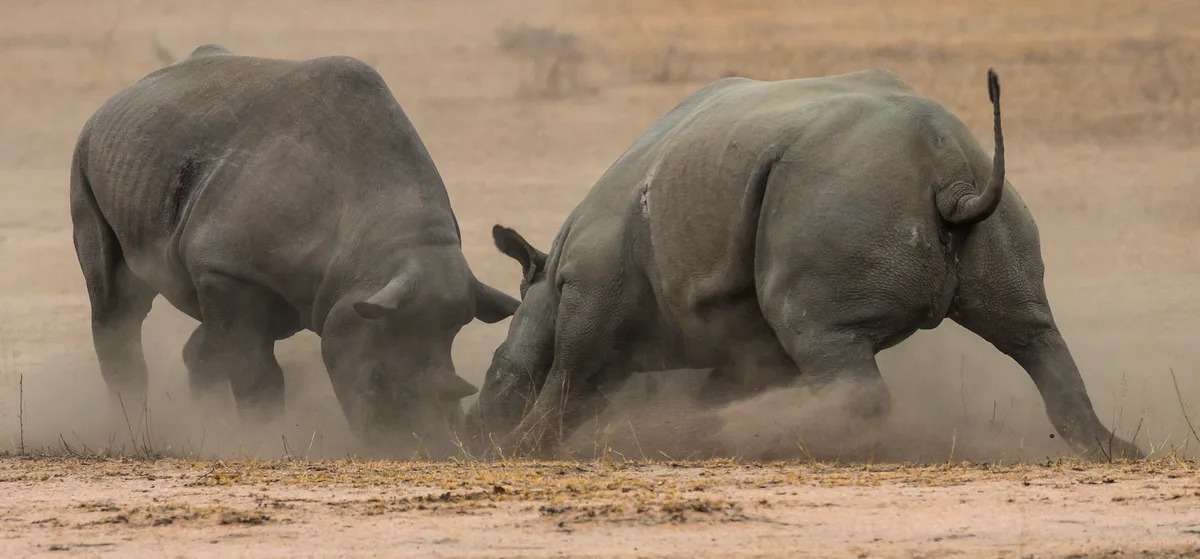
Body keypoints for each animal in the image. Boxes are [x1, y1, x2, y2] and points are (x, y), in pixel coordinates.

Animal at [69, 44, 519, 452]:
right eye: (375, 382)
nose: (416, 448)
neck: (368, 256)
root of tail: (119, 97)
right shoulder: (227, 269)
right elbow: (255, 370)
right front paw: (265, 439)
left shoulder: (305, 285)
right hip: (85, 152)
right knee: (117, 300)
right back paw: (133, 425)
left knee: (205, 336)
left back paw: (205, 426)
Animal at [467, 68, 1144, 461]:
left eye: (497, 373)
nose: (474, 427)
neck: (548, 277)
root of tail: (949, 169)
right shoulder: (736, 332)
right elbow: (718, 381)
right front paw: (704, 431)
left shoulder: (593, 287)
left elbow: (573, 373)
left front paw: (518, 450)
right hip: (982, 209)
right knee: (1032, 332)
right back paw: (1116, 452)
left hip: (834, 197)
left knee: (819, 333)